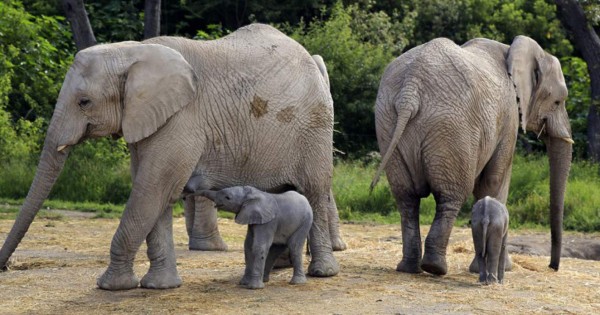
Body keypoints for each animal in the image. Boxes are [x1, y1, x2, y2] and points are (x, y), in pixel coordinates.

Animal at [0, 24, 340, 292]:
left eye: (84, 102)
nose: (5, 268)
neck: (133, 51)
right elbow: (155, 194)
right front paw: (159, 287)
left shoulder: (181, 119)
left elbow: (152, 189)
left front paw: (111, 286)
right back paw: (280, 267)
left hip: (315, 127)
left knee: (314, 190)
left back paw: (322, 273)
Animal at [372, 36, 576, 276]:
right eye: (558, 101)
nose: (552, 267)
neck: (512, 49)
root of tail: (410, 89)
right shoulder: (508, 116)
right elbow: (493, 181)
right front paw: (503, 269)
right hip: (453, 128)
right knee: (451, 196)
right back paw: (435, 268)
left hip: (387, 122)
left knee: (406, 198)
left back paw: (408, 268)